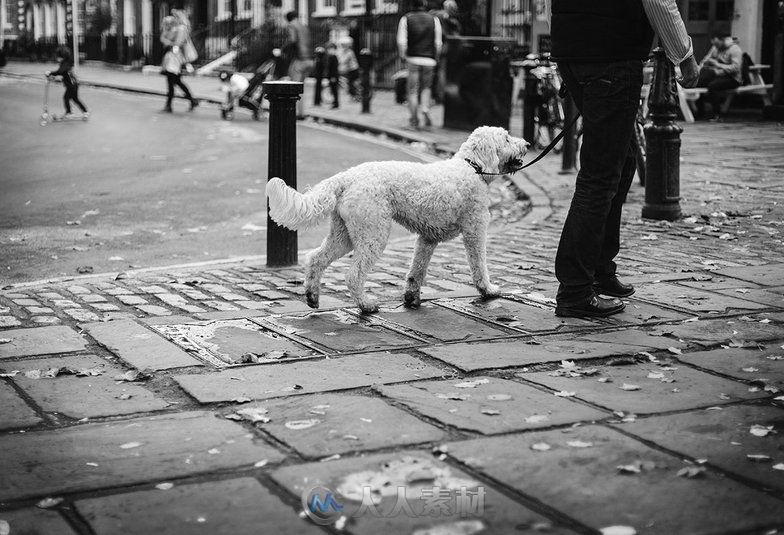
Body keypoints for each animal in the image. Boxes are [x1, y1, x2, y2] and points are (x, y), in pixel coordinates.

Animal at [266, 126, 528, 314]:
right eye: (506, 138)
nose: (527, 144)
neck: (472, 168)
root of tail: (346, 177)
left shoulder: (427, 239)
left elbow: (417, 270)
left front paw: (412, 297)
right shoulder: (475, 229)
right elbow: (479, 264)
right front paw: (488, 290)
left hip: (344, 234)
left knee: (316, 259)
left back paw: (312, 297)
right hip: (373, 232)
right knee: (353, 275)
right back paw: (366, 305)